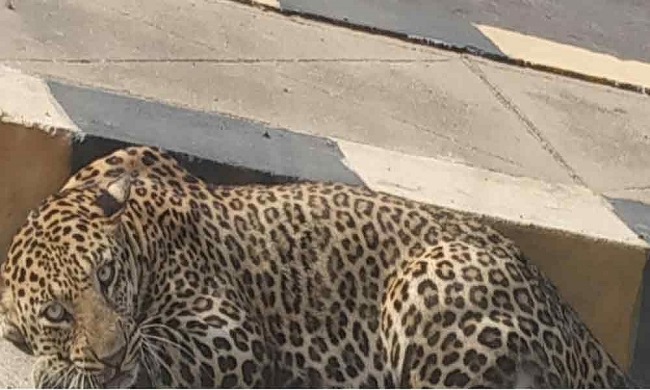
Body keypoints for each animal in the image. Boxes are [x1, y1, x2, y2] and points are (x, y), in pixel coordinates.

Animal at [0, 145, 636, 386]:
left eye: (107, 275)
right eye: (55, 312)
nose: (110, 354)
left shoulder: (230, 337)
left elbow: (158, 354)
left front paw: (64, 370)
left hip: (425, 284)